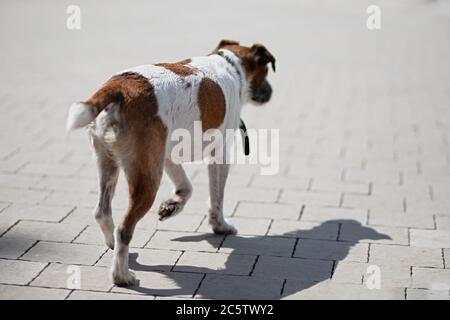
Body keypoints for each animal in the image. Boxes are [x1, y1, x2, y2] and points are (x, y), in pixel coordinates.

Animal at [65, 38, 276, 286]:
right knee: (124, 229)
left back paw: (113, 248)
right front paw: (220, 225)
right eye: (266, 71)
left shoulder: (166, 156)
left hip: (109, 163)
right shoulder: (220, 155)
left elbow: (186, 187)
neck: (230, 65)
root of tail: (119, 87)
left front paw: (172, 206)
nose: (271, 92)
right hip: (147, 178)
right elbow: (216, 198)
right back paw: (122, 275)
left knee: (102, 212)